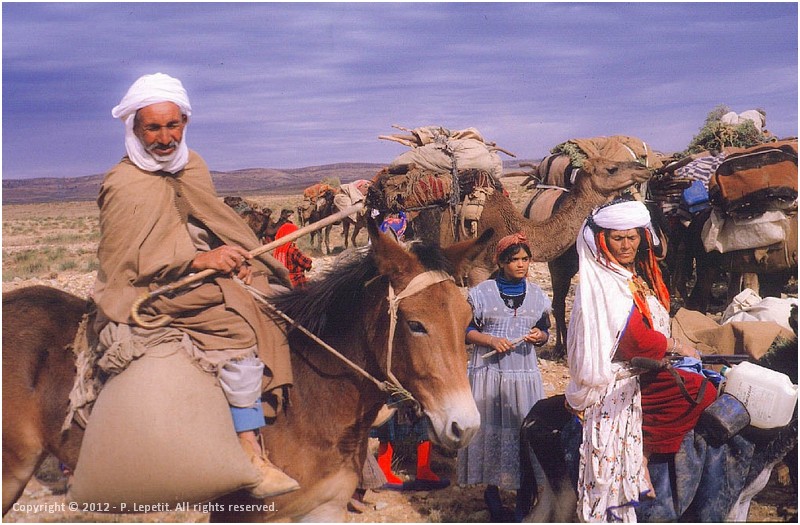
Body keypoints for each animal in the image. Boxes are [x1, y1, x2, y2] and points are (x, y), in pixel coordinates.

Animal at [2, 221, 493, 521]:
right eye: (415, 324)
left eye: (468, 318)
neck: (312, 400)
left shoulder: (324, 508)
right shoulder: (242, 513)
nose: (465, 426)